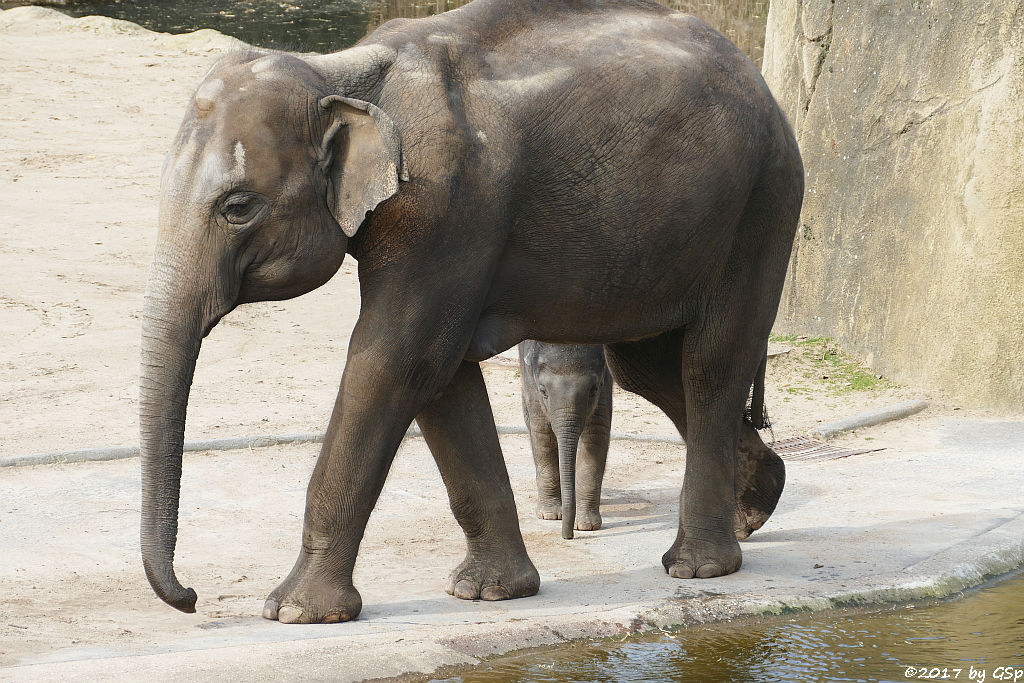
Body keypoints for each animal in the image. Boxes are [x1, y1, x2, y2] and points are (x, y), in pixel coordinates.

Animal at [524, 342, 610, 540]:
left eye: (594, 389)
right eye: (543, 390)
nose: (567, 536)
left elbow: (596, 432)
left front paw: (586, 525)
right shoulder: (531, 380)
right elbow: (542, 431)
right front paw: (550, 515)